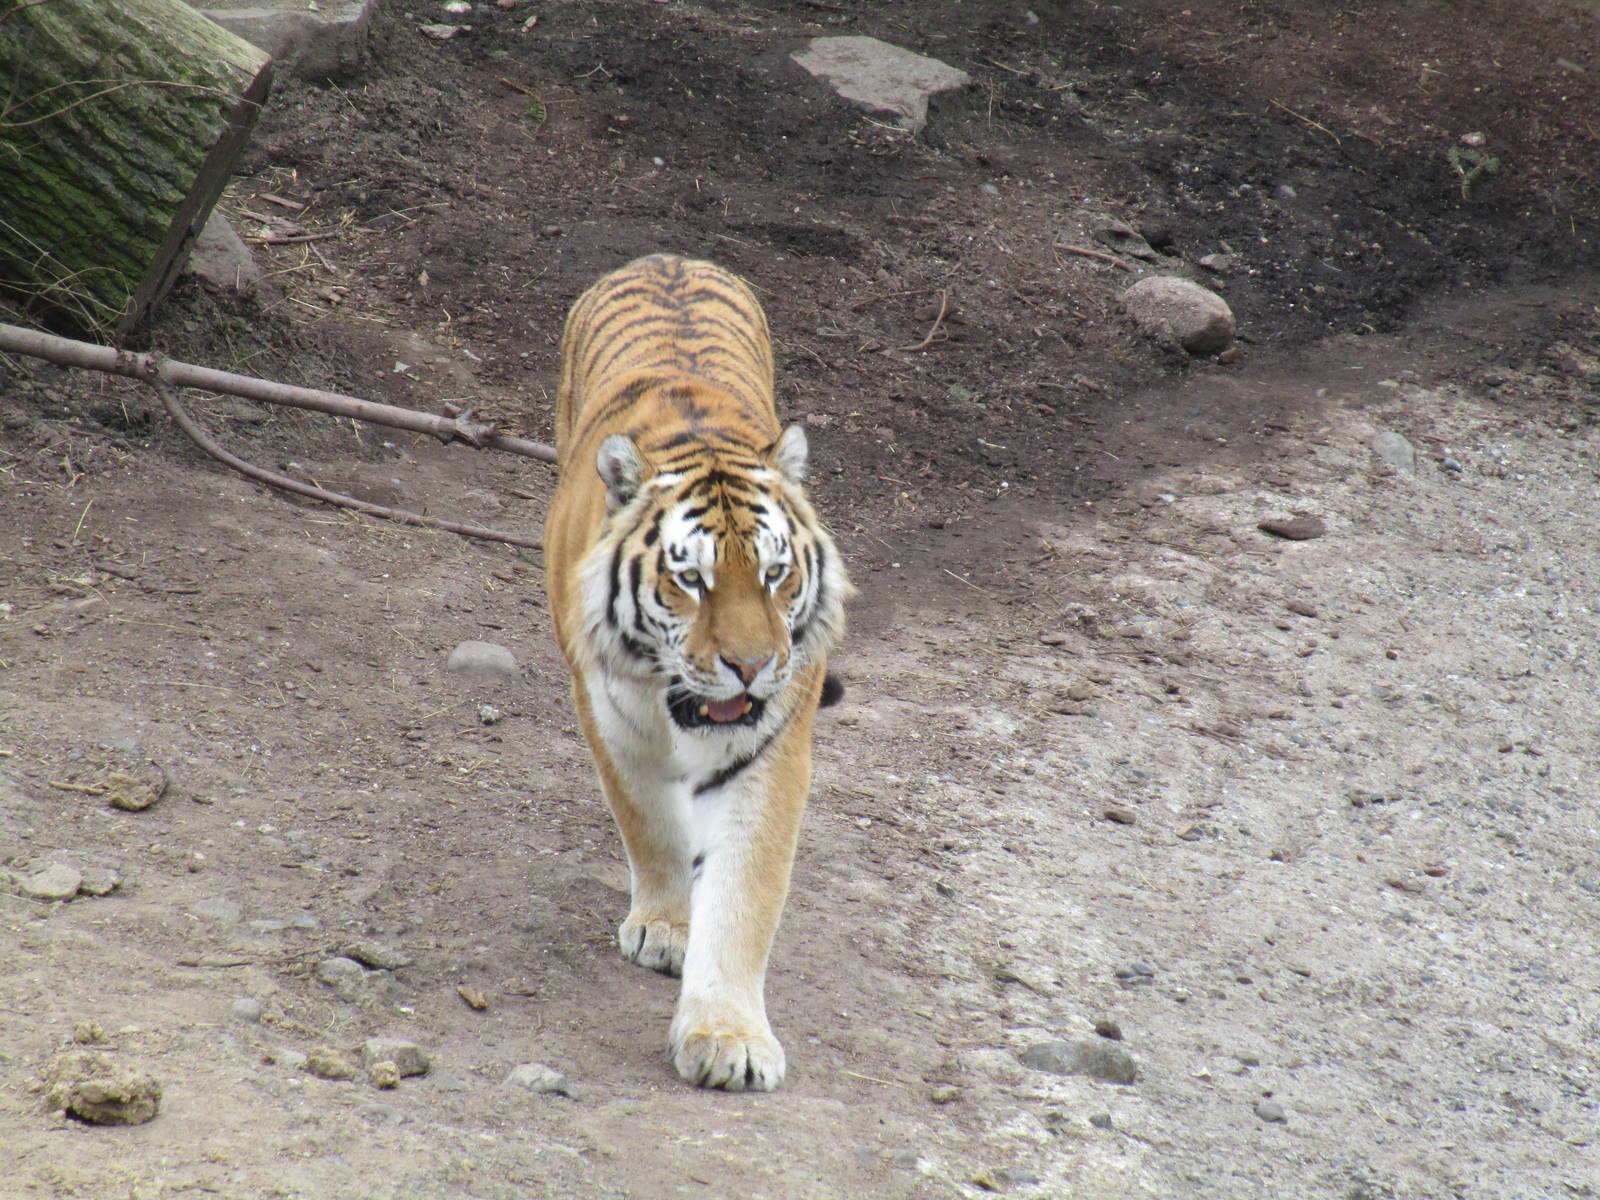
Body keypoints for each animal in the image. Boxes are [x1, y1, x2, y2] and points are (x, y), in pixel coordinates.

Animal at [543, 254, 852, 1091]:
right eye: (692, 580)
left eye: (776, 574)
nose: (751, 666)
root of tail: (667, 258)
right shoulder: (609, 713)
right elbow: (649, 824)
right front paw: (665, 926)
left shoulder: (770, 747)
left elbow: (746, 889)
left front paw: (728, 1036)